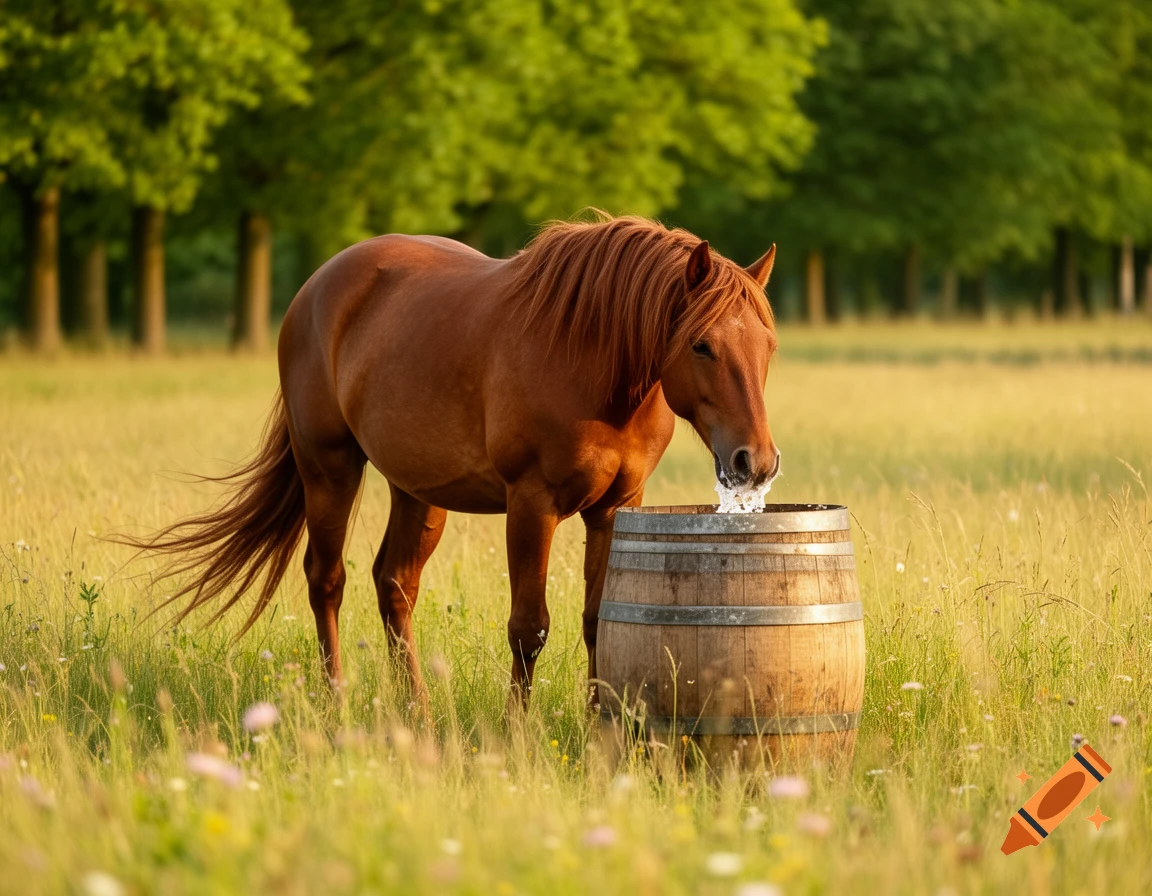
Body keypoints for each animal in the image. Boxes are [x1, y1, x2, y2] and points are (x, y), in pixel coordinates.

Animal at [126, 214, 780, 710]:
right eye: (702, 344)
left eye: (769, 346)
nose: (756, 461)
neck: (591, 361)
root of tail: (316, 288)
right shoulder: (532, 505)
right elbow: (528, 628)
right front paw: (520, 732)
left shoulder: (617, 508)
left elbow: (599, 619)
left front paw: (600, 723)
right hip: (329, 468)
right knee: (326, 580)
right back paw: (338, 702)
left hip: (417, 491)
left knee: (394, 584)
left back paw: (416, 707)